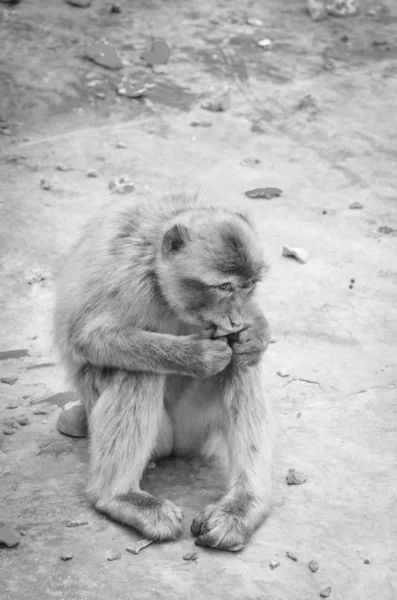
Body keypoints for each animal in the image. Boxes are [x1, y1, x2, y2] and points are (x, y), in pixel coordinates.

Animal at [54, 192, 274, 552]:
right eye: (224, 286)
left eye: (248, 286)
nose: (236, 320)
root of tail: (175, 447)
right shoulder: (126, 276)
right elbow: (88, 339)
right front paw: (196, 355)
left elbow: (243, 351)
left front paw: (256, 335)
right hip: (154, 431)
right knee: (138, 372)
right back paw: (119, 496)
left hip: (195, 432)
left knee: (241, 367)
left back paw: (245, 503)